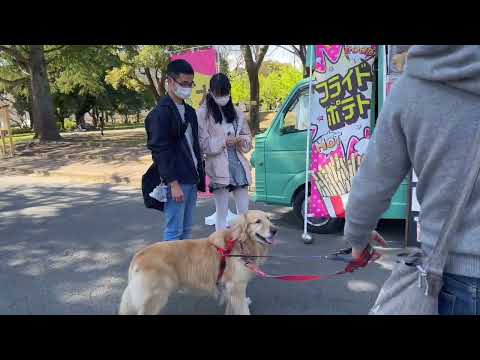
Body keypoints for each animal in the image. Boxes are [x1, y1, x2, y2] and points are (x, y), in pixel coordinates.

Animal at [119, 210, 278, 314]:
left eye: (269, 219)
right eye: (258, 221)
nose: (275, 230)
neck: (241, 244)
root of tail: (138, 255)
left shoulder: (229, 288)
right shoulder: (237, 286)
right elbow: (242, 309)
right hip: (156, 297)